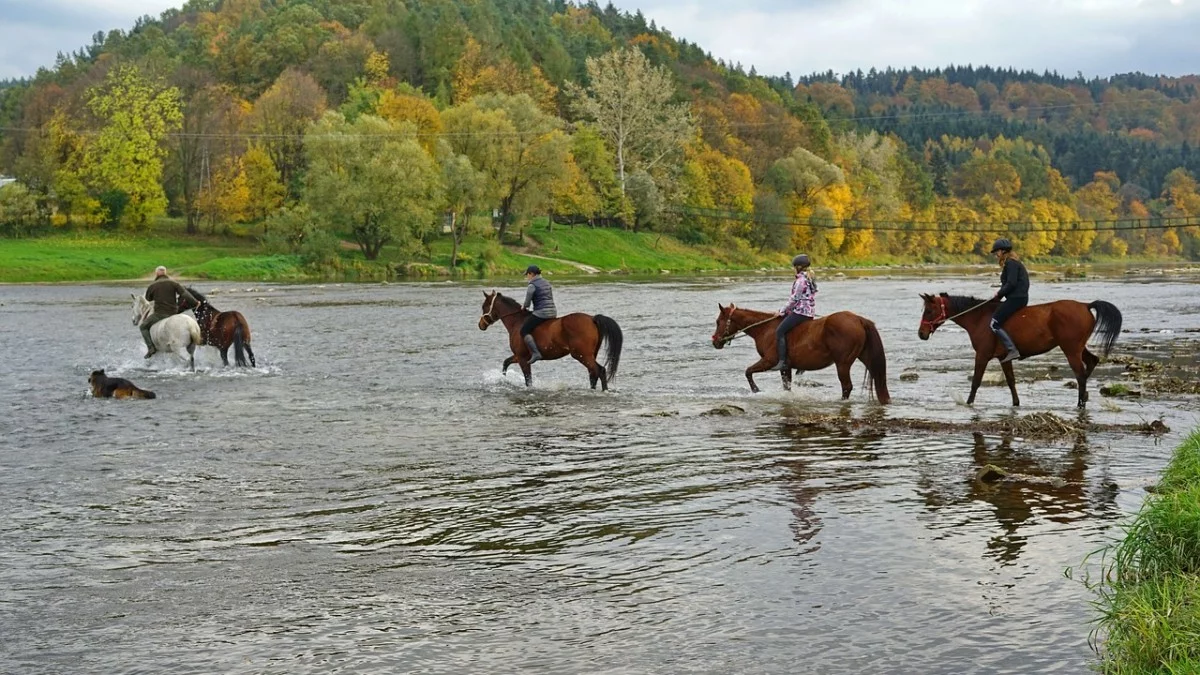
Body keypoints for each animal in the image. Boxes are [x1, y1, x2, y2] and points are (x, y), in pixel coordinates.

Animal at [480, 289, 624, 389]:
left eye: (484, 306)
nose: (480, 325)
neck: (517, 322)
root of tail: (592, 318)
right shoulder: (519, 356)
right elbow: (506, 362)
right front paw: (503, 379)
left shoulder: (522, 359)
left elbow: (528, 380)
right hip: (589, 355)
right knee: (593, 373)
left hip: (582, 355)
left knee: (600, 371)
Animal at [710, 302, 892, 401]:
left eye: (718, 321)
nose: (715, 342)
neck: (765, 329)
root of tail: (858, 319)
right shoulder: (786, 367)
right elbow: (786, 387)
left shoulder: (770, 361)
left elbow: (747, 372)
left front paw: (756, 391)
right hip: (865, 357)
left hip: (843, 364)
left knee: (846, 386)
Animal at [916, 289, 1123, 403]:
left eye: (929, 310)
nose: (921, 334)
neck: (979, 318)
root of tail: (1085, 305)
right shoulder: (1003, 358)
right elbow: (1011, 381)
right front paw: (1016, 403)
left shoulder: (982, 355)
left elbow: (976, 381)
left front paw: (968, 403)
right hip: (1078, 348)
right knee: (1092, 362)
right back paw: (1085, 396)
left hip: (1071, 350)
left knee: (1080, 375)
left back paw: (1080, 403)